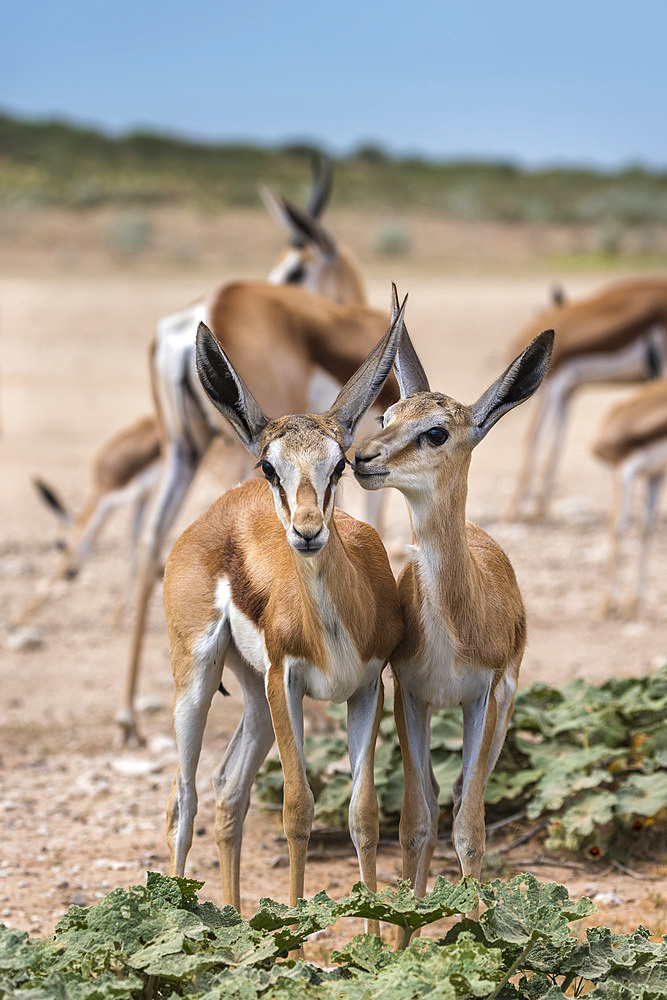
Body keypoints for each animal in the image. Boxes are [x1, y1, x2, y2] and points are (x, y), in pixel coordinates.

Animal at [164, 304, 404, 928]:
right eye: (271, 468)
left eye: (339, 465)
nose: (307, 531)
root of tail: (221, 508)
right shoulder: (287, 682)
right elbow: (297, 808)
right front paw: (292, 933)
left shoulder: (367, 688)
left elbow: (364, 814)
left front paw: (373, 935)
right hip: (199, 681)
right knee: (184, 800)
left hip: (251, 693)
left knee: (228, 789)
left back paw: (230, 920)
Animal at [354, 292, 552, 932]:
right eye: (388, 416)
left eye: (436, 432)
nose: (362, 458)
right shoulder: (410, 694)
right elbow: (418, 821)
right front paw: (404, 938)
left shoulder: (484, 697)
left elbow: (470, 828)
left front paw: (477, 934)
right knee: (439, 801)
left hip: (498, 712)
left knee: (470, 795)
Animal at [508, 278, 664, 520]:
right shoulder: (569, 391)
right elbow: (557, 442)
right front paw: (539, 509)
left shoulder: (554, 386)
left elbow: (535, 436)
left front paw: (515, 511)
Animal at [596, 376, 667, 616]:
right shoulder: (636, 472)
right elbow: (627, 528)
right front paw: (617, 603)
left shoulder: (644, 473)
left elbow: (635, 529)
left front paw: (622, 602)